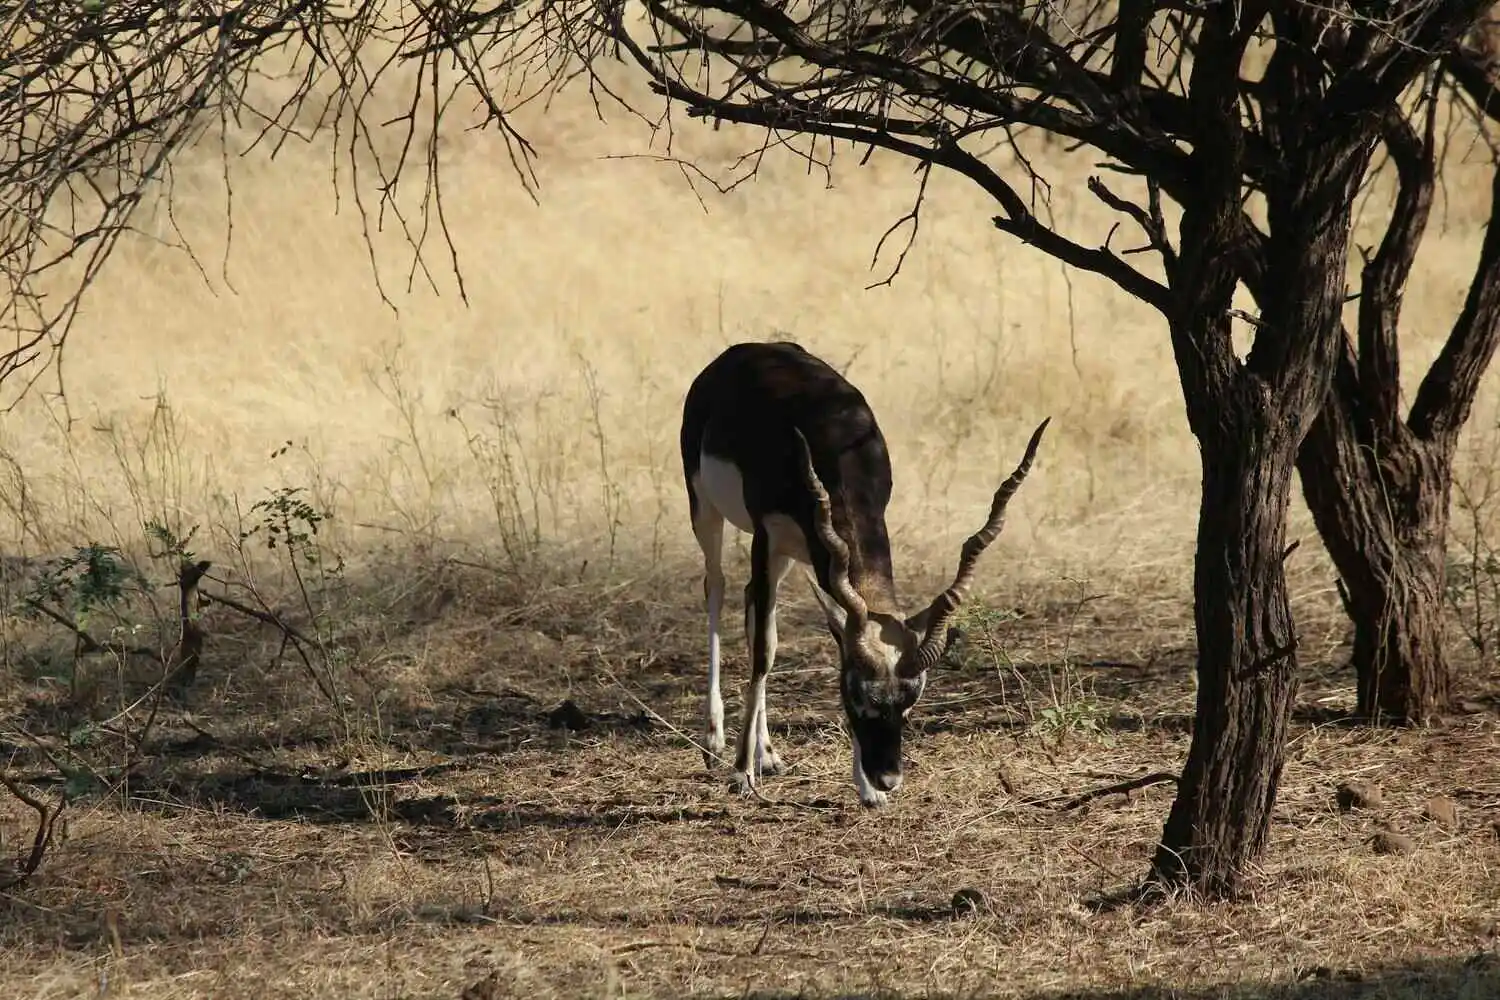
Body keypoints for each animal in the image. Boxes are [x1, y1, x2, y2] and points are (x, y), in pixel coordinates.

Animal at [684, 341, 1050, 803]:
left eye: (909, 704)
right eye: (859, 697)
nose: (888, 776)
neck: (833, 446)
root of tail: (744, 350)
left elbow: (821, 638)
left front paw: (867, 791)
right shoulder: (766, 535)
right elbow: (764, 651)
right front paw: (740, 773)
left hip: (788, 553)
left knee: (752, 601)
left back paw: (768, 754)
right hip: (707, 508)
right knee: (716, 586)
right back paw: (714, 741)